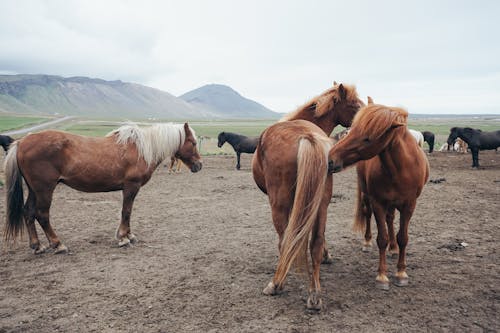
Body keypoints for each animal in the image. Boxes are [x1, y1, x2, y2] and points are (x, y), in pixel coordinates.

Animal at [3, 122, 203, 254]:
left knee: (28, 212)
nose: (199, 165)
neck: (142, 149)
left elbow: (128, 212)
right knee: (42, 215)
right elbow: (126, 211)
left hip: (34, 190)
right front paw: (123, 238)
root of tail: (22, 142)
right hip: (44, 190)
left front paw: (129, 235)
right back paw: (57, 244)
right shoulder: (131, 186)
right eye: (193, 143)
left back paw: (37, 246)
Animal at [250, 82, 364, 308]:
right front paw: (328, 255)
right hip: (321, 204)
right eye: (355, 105)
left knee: (285, 241)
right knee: (316, 243)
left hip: (279, 205)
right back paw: (314, 294)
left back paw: (276, 283)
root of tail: (307, 136)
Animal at [328, 100, 430, 290]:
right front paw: (382, 276)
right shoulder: (378, 203)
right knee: (368, 215)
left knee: (390, 220)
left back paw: (393, 248)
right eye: (351, 130)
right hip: (368, 196)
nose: (330, 159)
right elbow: (381, 238)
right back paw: (368, 243)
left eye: (368, 138)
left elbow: (403, 238)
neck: (401, 169)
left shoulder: (409, 205)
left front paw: (401, 273)